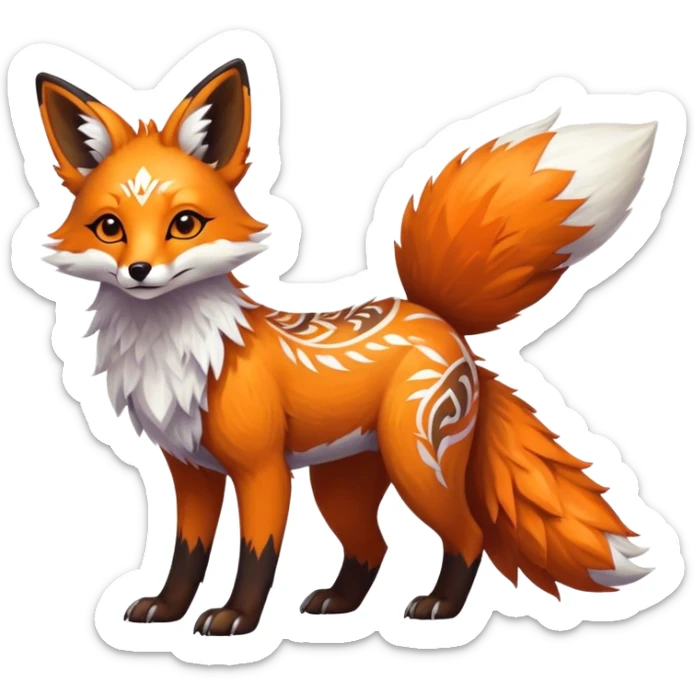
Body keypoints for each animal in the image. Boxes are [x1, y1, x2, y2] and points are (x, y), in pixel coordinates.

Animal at [31, 59, 657, 636]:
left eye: (184, 224)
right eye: (109, 228)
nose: (139, 272)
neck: (183, 354)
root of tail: (433, 314)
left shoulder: (262, 470)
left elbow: (257, 555)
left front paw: (237, 618)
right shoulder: (190, 470)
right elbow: (187, 553)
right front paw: (166, 609)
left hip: (419, 466)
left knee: (468, 534)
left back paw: (441, 608)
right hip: (341, 485)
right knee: (372, 548)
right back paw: (339, 604)